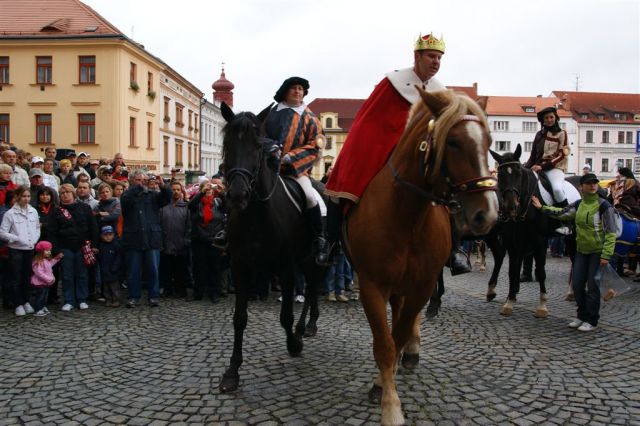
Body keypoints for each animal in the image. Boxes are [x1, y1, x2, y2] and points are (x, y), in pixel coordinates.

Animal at [218, 102, 324, 392]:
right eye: (228, 144)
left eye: (257, 147)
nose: (238, 195)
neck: (257, 214)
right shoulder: (240, 266)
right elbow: (239, 318)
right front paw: (232, 371)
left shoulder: (285, 267)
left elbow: (285, 315)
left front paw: (293, 344)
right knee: (311, 285)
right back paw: (306, 325)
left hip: (314, 255)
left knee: (313, 285)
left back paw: (305, 327)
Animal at [344, 88, 500, 424]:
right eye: (452, 142)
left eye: (489, 142)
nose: (487, 214)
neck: (407, 215)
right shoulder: (372, 286)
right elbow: (385, 344)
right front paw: (390, 405)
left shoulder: (423, 284)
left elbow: (400, 333)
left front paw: (387, 382)